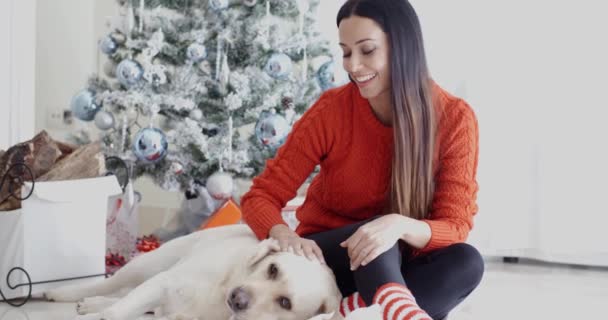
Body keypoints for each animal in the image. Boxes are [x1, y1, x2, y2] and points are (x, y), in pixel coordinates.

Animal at [44, 225, 346, 320]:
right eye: (273, 269)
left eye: (285, 302)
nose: (238, 298)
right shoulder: (164, 282)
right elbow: (118, 311)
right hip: (149, 264)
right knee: (111, 285)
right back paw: (65, 293)